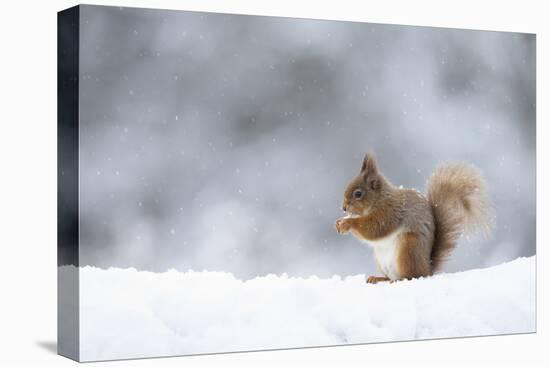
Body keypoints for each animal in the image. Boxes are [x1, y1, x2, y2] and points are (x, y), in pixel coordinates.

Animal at [336, 154, 496, 284]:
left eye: (358, 194)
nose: (343, 208)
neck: (380, 199)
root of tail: (427, 269)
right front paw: (339, 222)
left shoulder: (390, 213)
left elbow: (375, 228)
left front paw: (347, 223)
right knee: (391, 276)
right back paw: (378, 278)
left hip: (409, 248)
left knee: (411, 276)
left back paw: (399, 279)